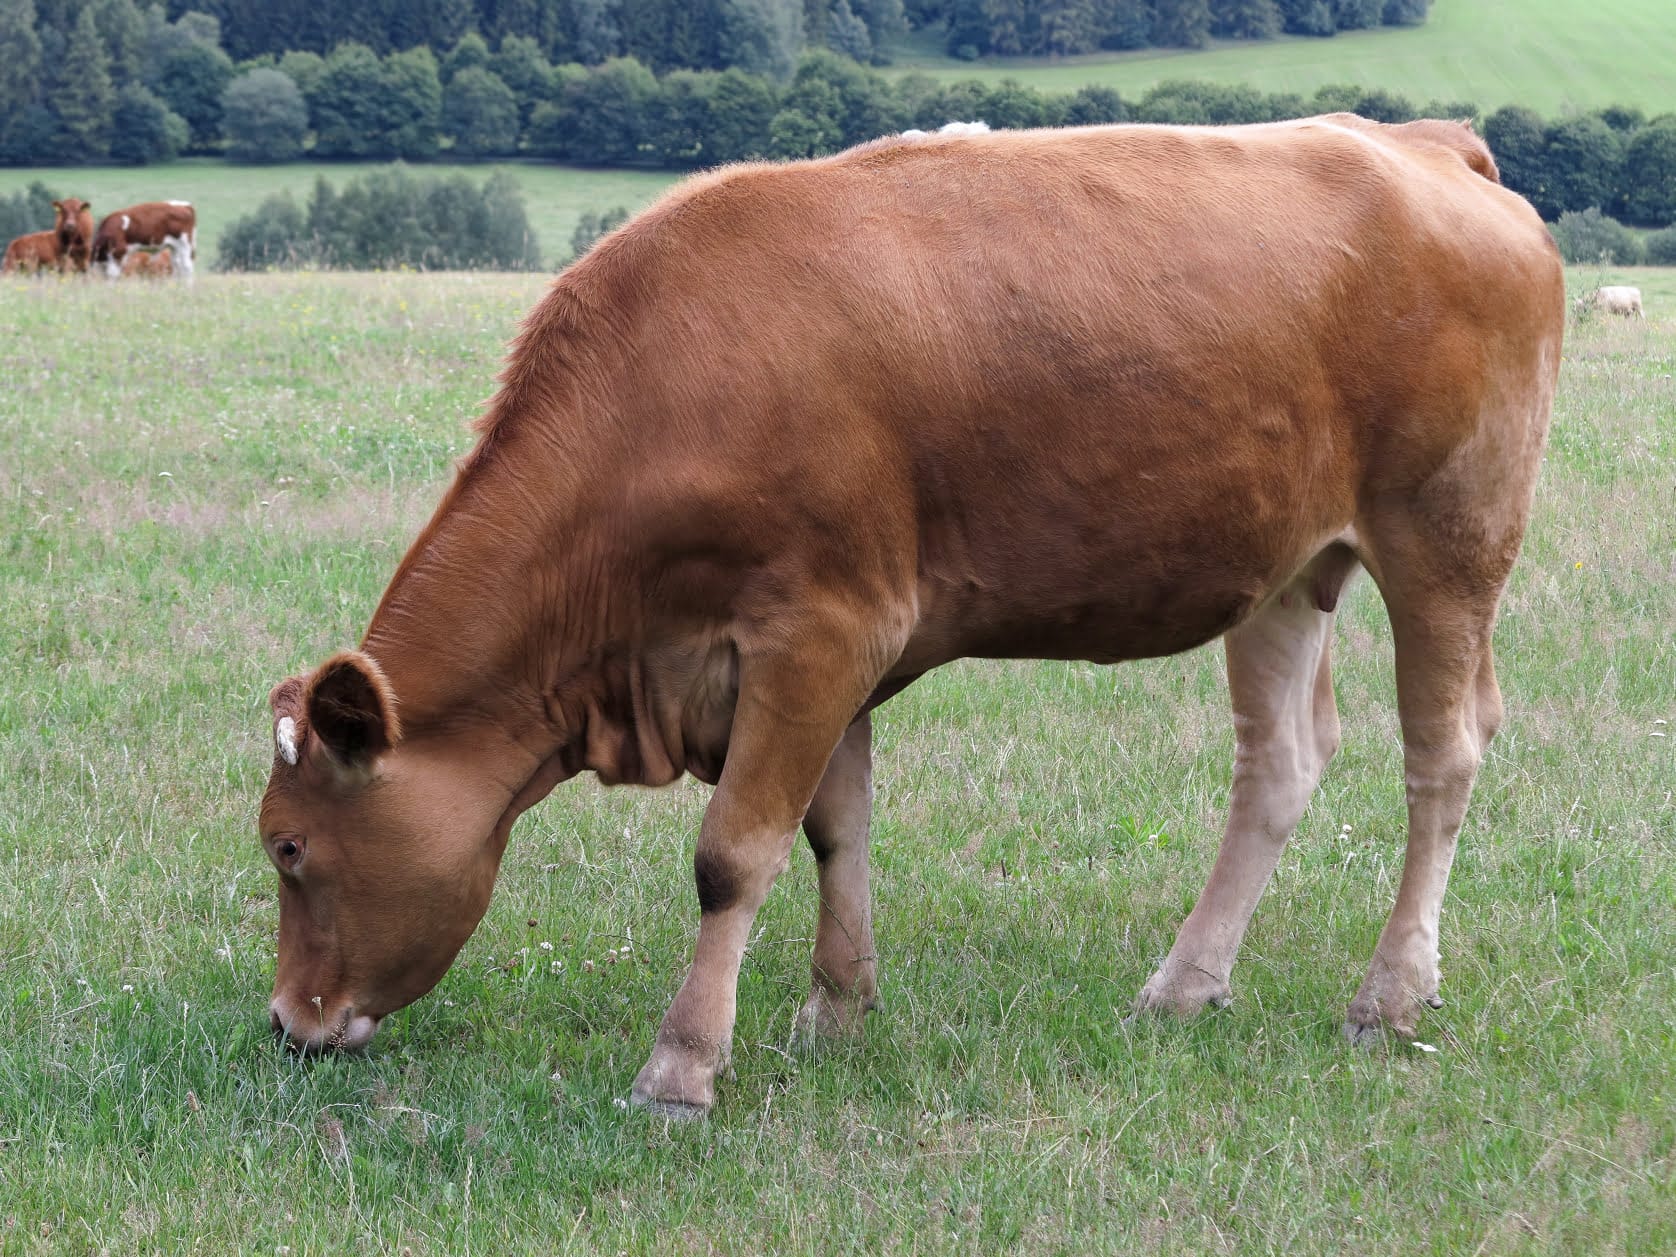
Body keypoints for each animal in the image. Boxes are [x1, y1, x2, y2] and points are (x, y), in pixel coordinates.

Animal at [254, 118, 1562, 1119]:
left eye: (286, 847)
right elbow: (837, 830)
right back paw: (1184, 983)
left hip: (1445, 534)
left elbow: (733, 854)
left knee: (1440, 755)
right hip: (1288, 566)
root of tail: (1421, 140)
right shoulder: (823, 654)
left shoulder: (818, 632)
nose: (285, 1024)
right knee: (1279, 763)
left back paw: (1386, 994)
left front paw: (682, 1067)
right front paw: (836, 1008)